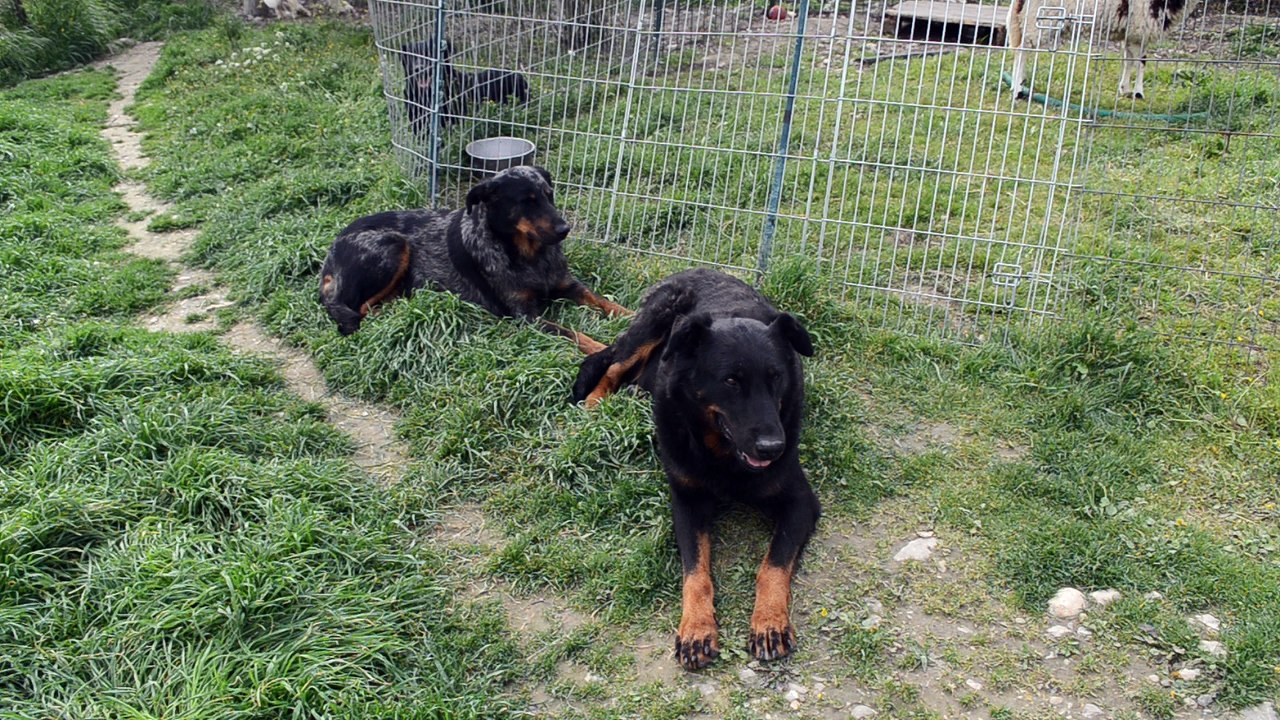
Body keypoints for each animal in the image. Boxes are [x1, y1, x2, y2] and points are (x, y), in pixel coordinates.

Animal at [1007, 0, 1195, 100]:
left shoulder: (1130, 33)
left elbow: (1128, 61)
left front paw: (1125, 88)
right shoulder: (1139, 29)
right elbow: (1141, 62)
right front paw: (1138, 92)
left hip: (1027, 18)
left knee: (1019, 48)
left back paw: (1018, 84)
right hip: (1041, 18)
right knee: (1023, 51)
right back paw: (1017, 89)